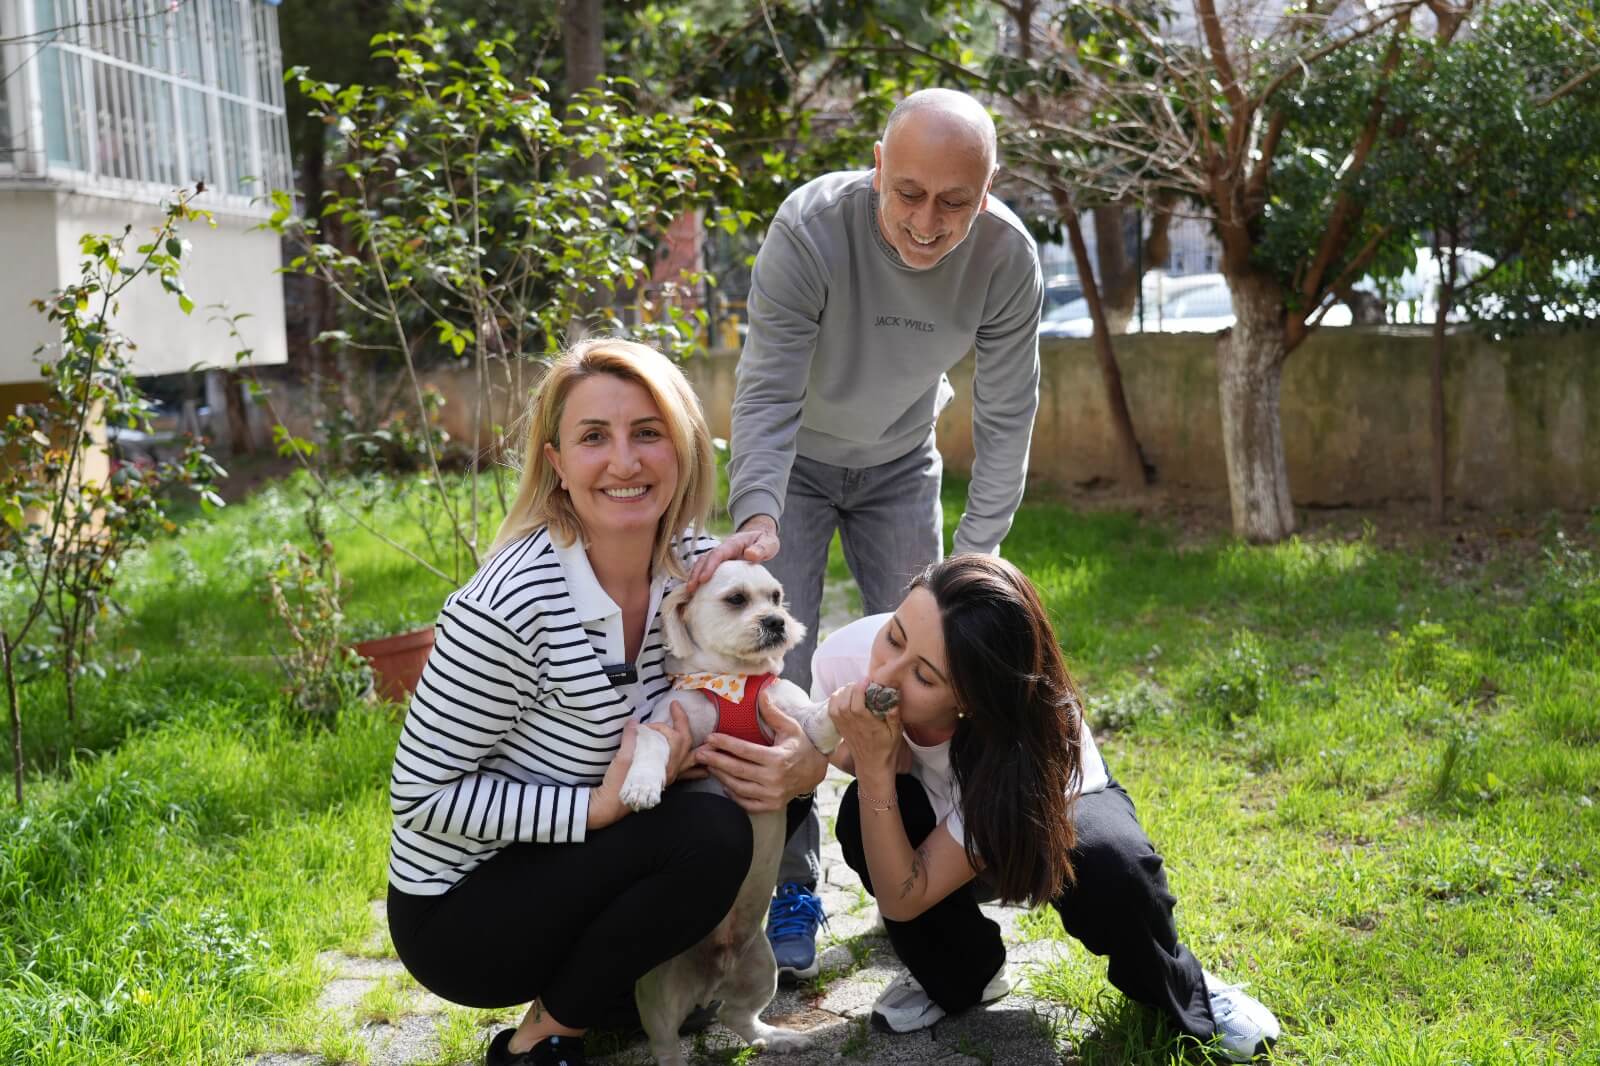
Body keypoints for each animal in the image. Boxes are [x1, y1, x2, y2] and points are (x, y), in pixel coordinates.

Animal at [618, 560, 896, 1066]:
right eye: (736, 600)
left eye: (776, 596)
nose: (777, 622)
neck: (736, 683)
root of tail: (711, 979)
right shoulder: (672, 731)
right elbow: (650, 742)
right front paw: (641, 785)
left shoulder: (800, 726)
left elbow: (824, 714)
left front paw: (865, 698)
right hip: (657, 994)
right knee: (665, 1043)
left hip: (760, 969)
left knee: (739, 1018)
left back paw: (780, 1038)